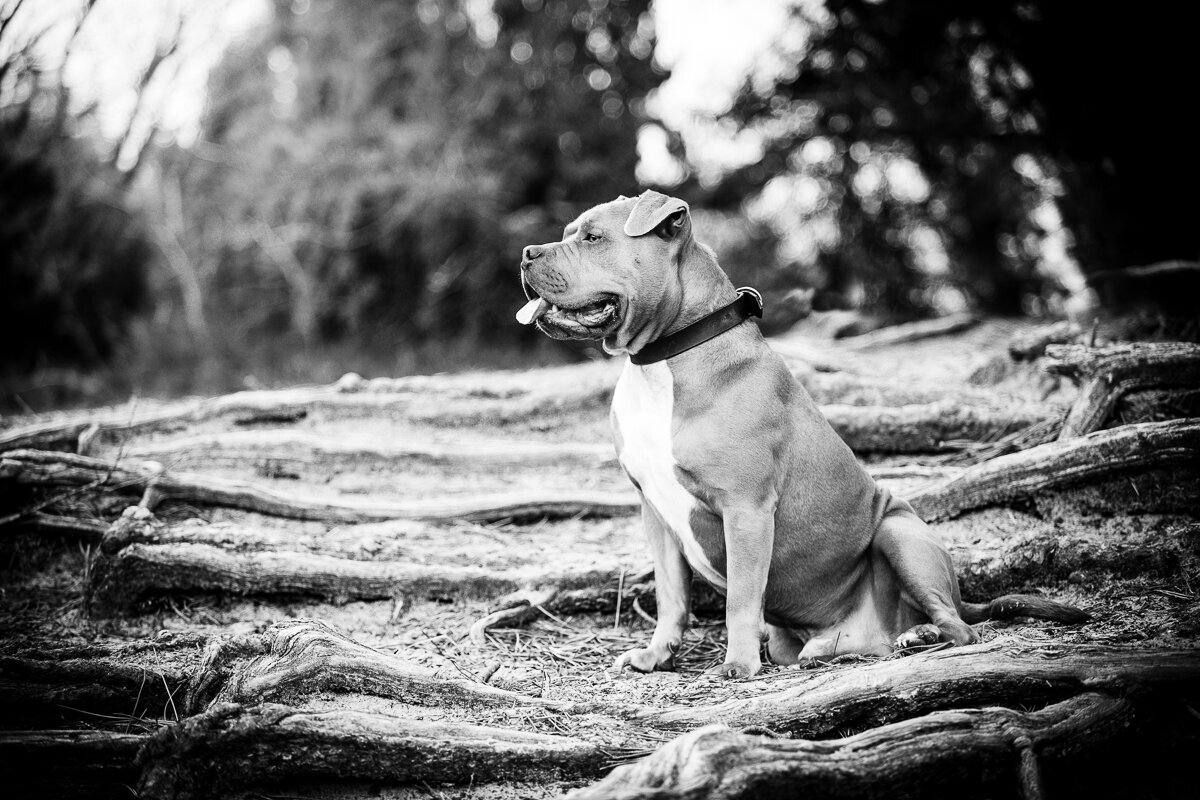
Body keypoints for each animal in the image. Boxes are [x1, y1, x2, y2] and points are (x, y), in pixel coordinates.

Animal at [516, 190, 1089, 681]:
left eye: (593, 238)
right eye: (568, 233)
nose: (526, 253)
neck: (664, 360)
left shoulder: (745, 510)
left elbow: (740, 598)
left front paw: (737, 665)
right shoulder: (656, 512)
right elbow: (671, 597)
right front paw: (657, 656)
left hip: (899, 533)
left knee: (962, 628)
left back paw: (922, 636)